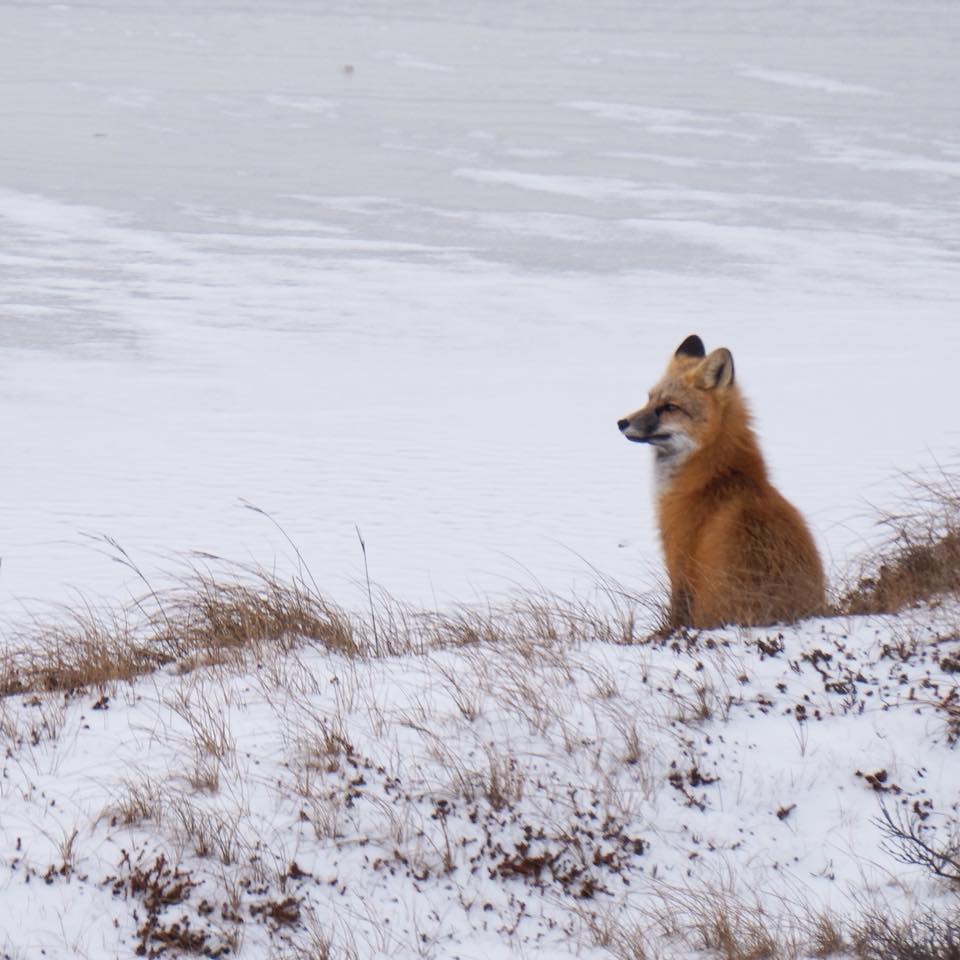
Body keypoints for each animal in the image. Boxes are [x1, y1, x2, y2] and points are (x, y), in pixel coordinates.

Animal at [617, 334, 824, 629]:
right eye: (649, 399)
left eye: (669, 407)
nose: (621, 422)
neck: (715, 475)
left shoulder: (679, 564)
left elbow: (675, 617)